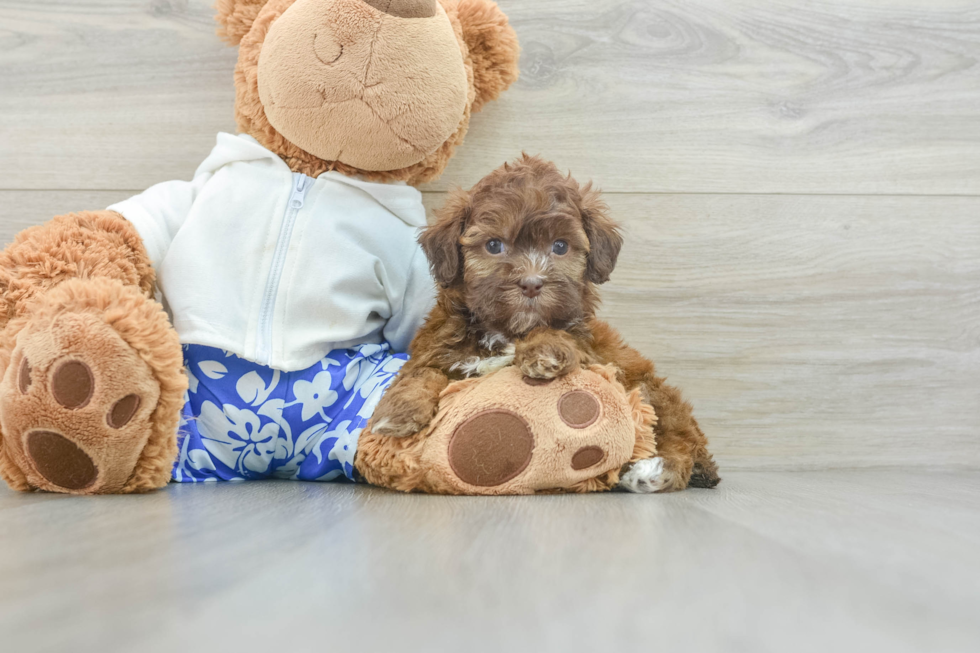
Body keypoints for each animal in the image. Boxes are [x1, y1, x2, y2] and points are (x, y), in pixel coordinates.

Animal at [370, 155, 720, 492]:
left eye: (560, 246)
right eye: (494, 245)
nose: (531, 283)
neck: (506, 331)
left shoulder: (588, 349)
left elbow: (558, 333)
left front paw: (544, 351)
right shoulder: (436, 346)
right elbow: (421, 371)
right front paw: (397, 411)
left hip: (652, 392)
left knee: (681, 442)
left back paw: (654, 472)